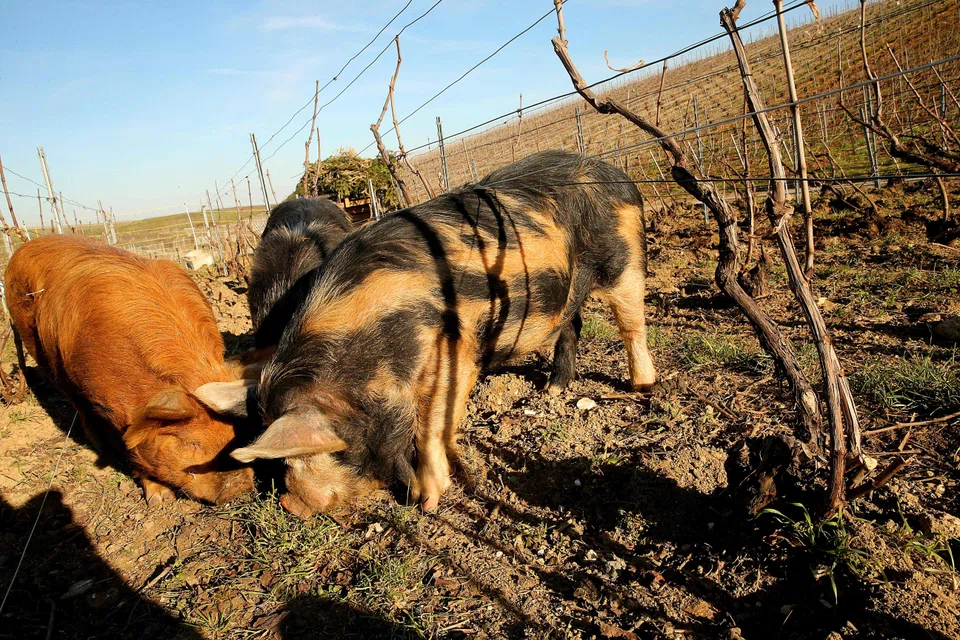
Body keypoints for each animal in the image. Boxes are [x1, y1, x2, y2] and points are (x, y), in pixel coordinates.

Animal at [5, 235, 255, 505]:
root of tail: (25, 247)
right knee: (73, 398)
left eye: (240, 433)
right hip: (36, 346)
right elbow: (131, 446)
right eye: (191, 443)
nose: (240, 487)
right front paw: (159, 500)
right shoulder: (111, 406)